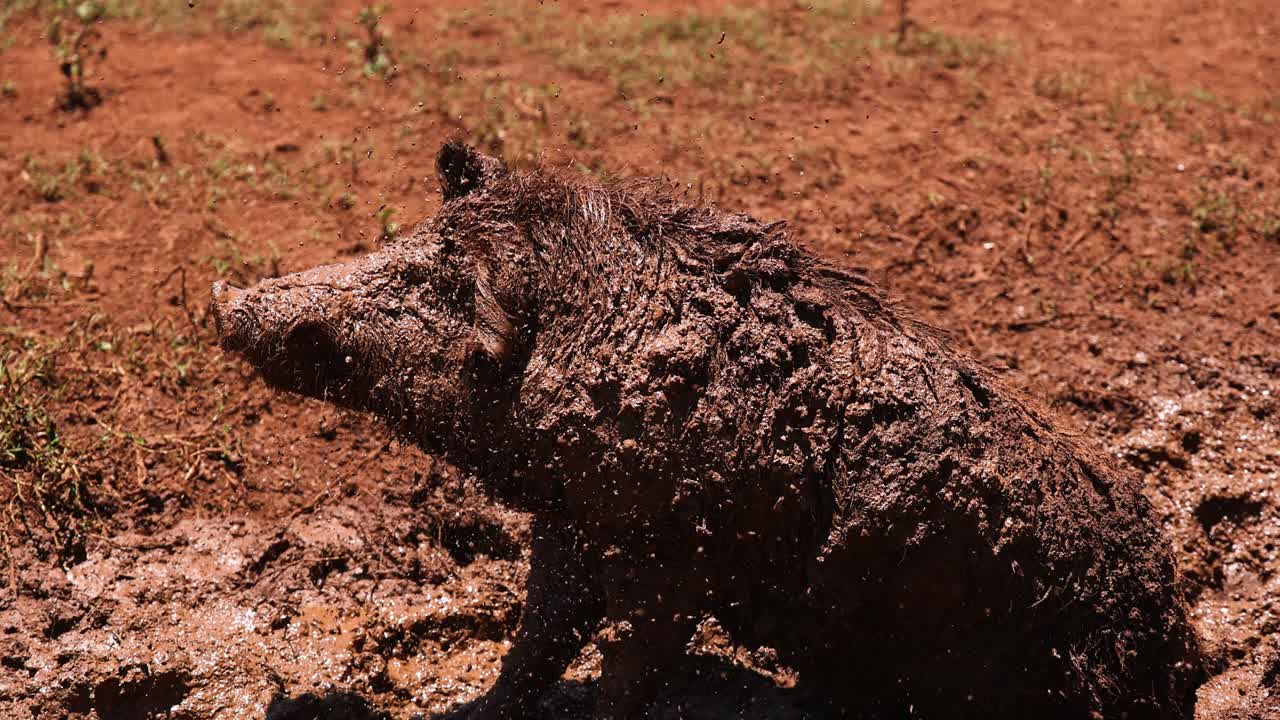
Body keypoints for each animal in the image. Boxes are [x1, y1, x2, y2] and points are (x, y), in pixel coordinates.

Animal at [211, 142, 1202, 719]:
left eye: (436, 285)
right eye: (407, 242)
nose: (228, 300)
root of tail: (1175, 637)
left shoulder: (680, 560)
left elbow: (628, 673)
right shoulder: (575, 524)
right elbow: (536, 641)